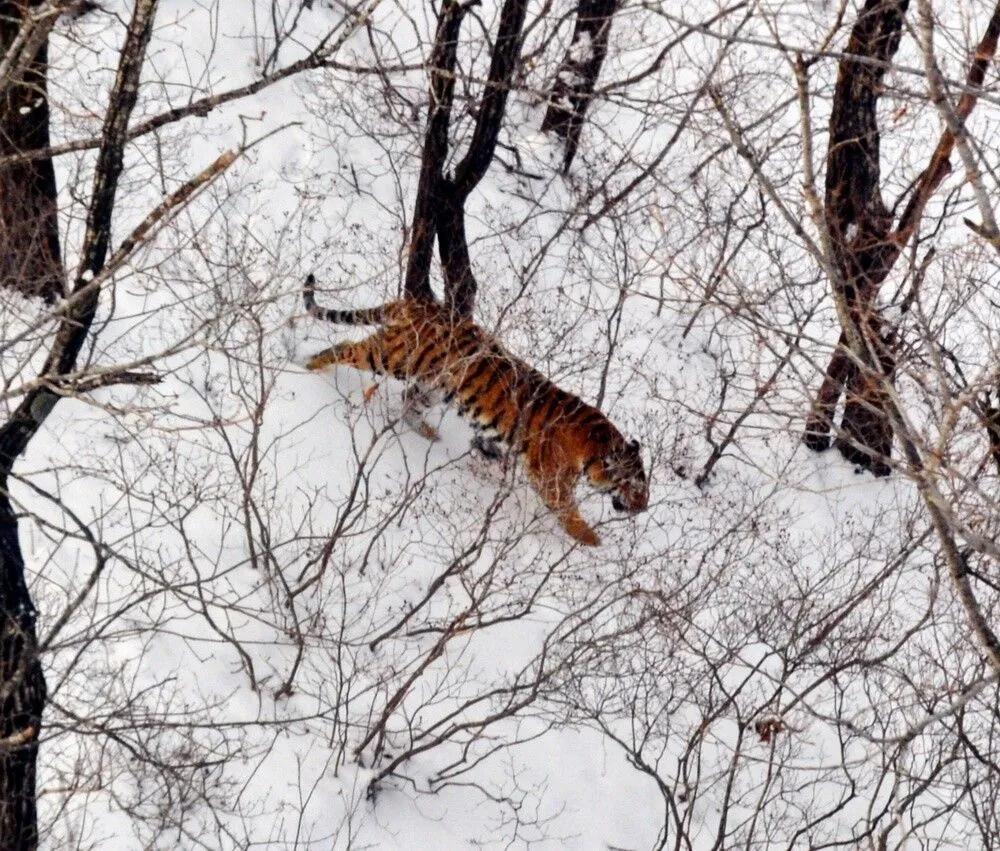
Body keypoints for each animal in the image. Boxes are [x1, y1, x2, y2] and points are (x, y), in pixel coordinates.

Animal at [302, 276, 648, 548]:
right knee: (346, 347)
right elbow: (568, 509)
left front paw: (486, 452)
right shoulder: (552, 479)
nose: (643, 508)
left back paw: (427, 432)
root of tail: (418, 304)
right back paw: (307, 365)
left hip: (434, 386)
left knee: (408, 398)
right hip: (390, 357)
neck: (597, 449)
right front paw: (590, 539)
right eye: (636, 486)